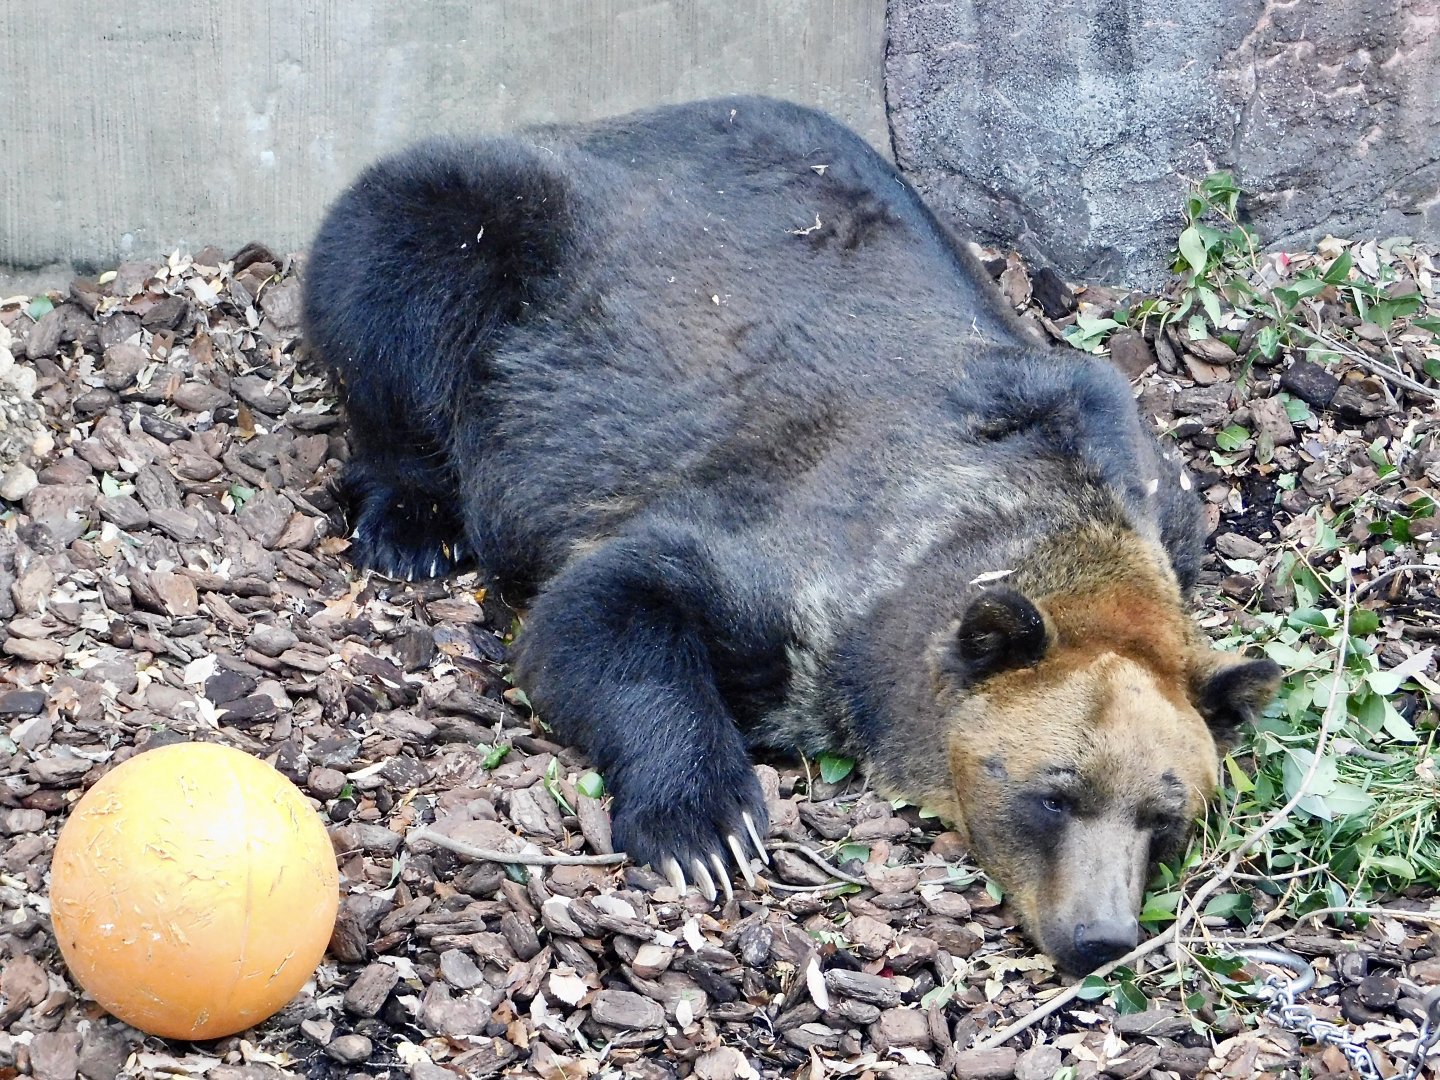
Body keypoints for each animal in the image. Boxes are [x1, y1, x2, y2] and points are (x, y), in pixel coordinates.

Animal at [302, 96, 1281, 974]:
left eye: (1166, 818)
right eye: (1054, 795)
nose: (1099, 937)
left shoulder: (1161, 498)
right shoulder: (814, 563)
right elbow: (608, 604)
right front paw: (709, 827)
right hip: (505, 242)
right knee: (396, 283)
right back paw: (412, 527)